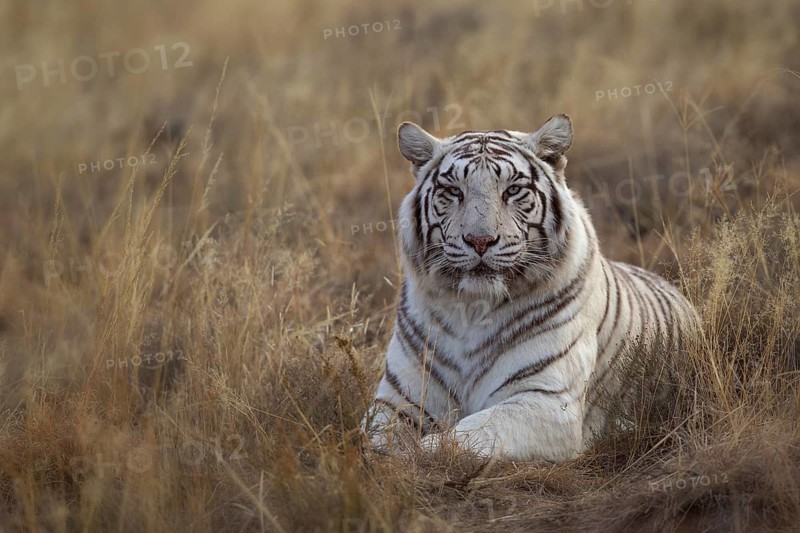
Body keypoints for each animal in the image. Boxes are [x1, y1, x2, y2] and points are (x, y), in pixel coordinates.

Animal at [362, 114, 700, 462]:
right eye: (454, 191)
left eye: (512, 190)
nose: (479, 240)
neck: (472, 307)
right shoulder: (398, 400)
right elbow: (371, 441)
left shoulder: (546, 400)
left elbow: (468, 434)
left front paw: (420, 453)